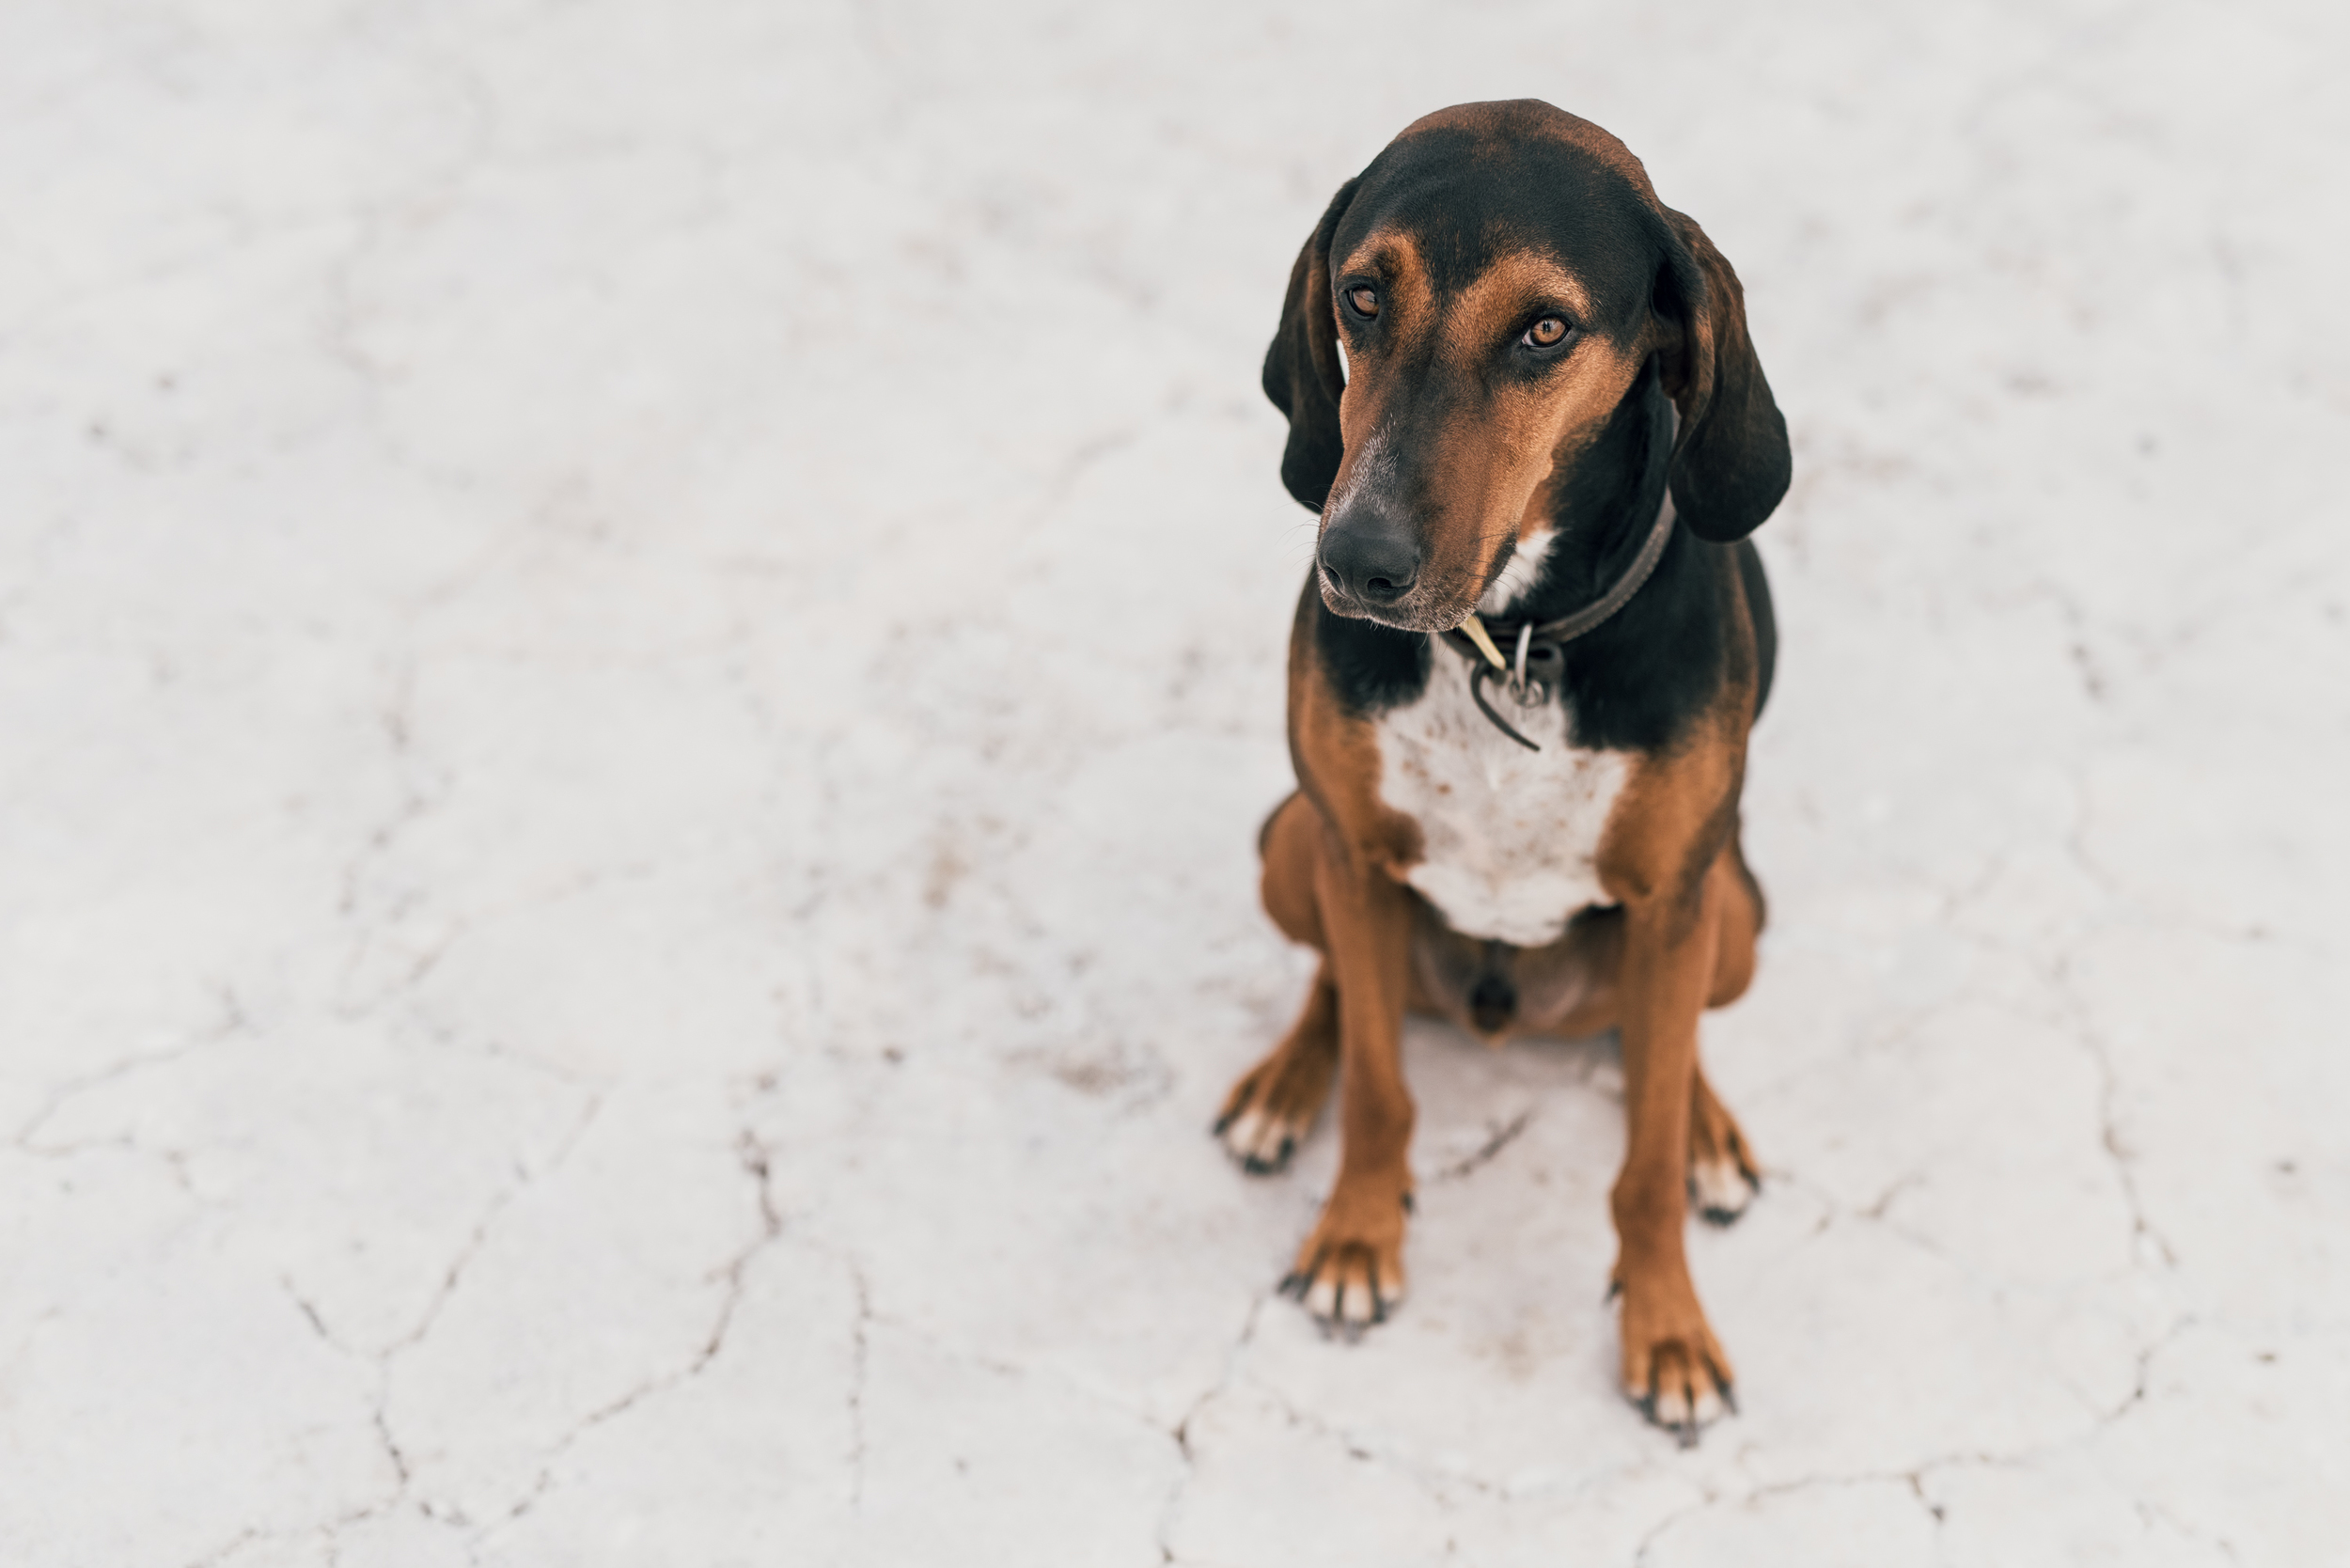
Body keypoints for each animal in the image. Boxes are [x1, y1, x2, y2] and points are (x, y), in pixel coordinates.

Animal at [1222, 101, 1786, 1448]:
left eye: (1545, 329)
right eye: (1362, 296)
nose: (1357, 561)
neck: (1511, 640)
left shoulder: (1675, 898)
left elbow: (1641, 1167)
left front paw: (1668, 1331)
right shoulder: (1351, 852)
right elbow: (1380, 1088)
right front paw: (1353, 1239)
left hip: (1734, 908)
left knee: (1671, 1044)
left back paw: (1708, 1128)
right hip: (1288, 843)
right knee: (1338, 976)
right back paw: (1284, 1085)